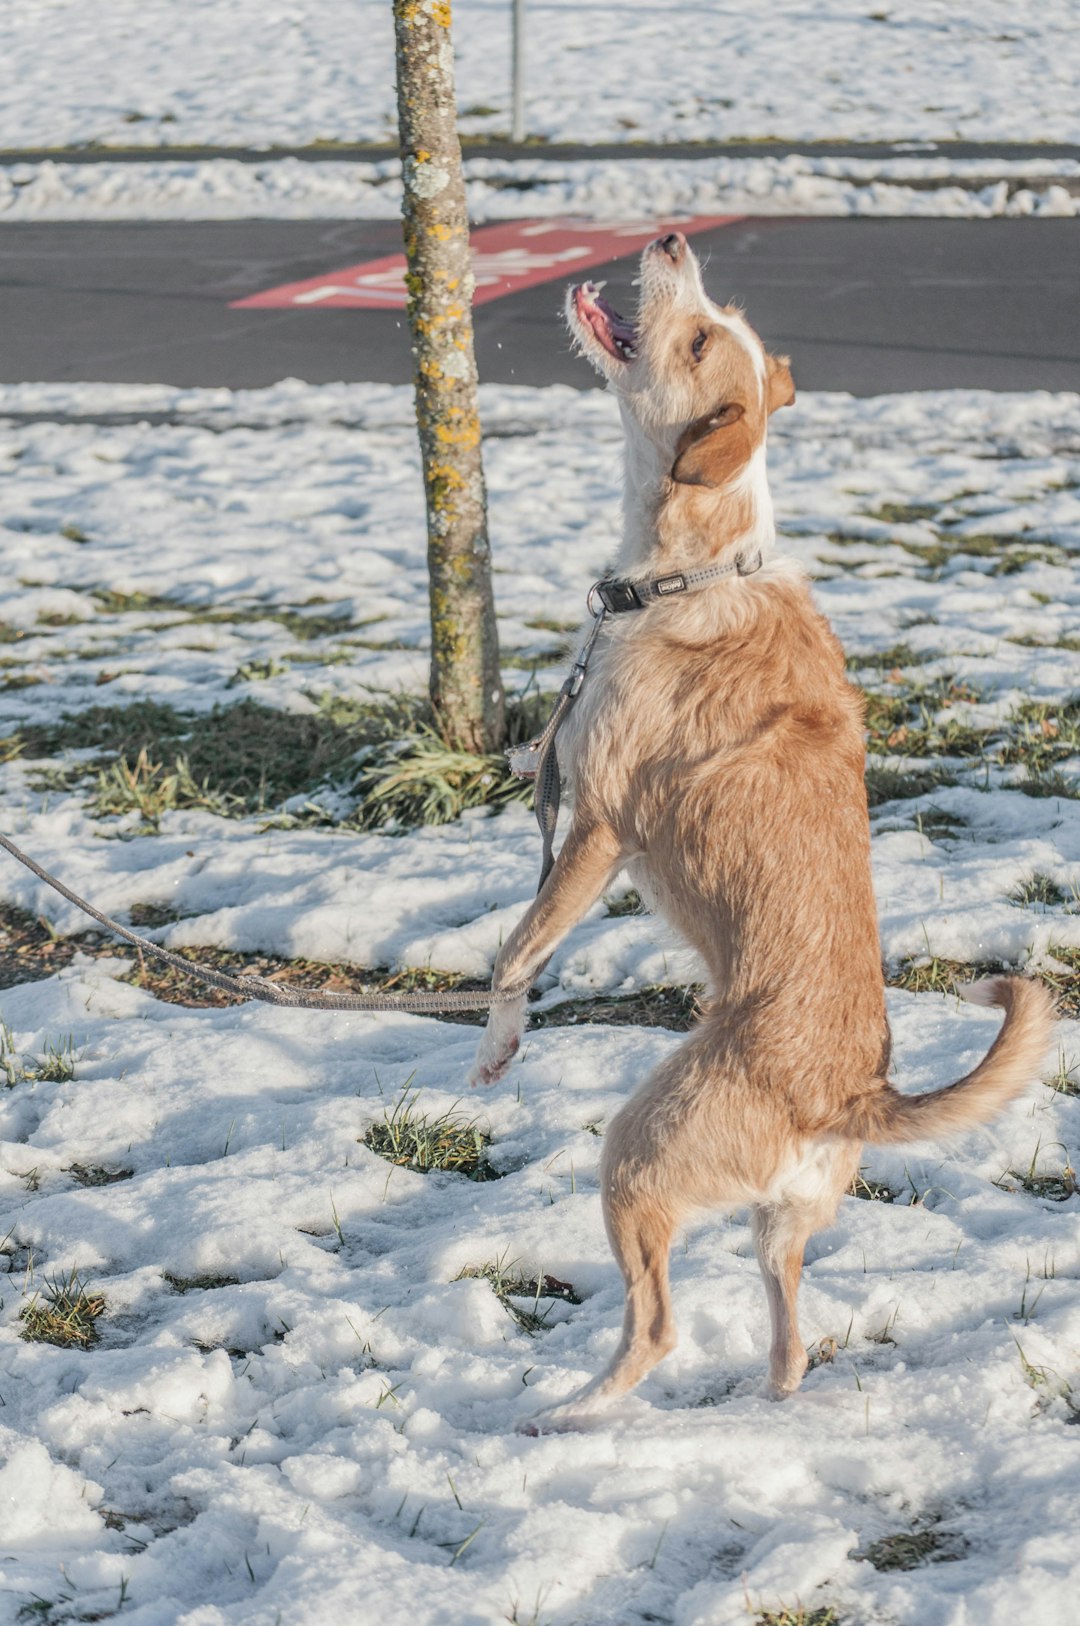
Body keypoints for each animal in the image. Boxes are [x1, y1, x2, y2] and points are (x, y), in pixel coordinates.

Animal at [465, 229, 1053, 1424]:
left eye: (698, 338)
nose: (671, 238)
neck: (692, 568)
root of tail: (849, 1100)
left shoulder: (597, 828)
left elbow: (519, 950)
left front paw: (499, 1043)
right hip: (778, 1226)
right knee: (788, 1343)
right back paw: (761, 1409)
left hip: (636, 1155)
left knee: (654, 1327)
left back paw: (569, 1415)